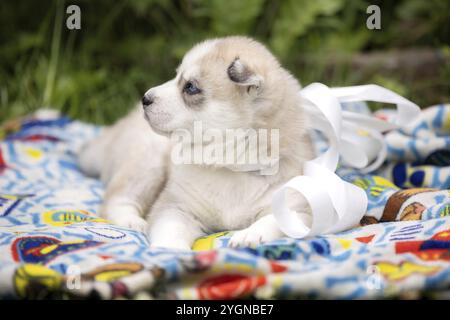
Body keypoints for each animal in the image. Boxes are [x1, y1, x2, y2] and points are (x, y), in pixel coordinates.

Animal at [79, 36, 312, 249]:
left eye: (190, 87)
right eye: (176, 76)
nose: (144, 98)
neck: (229, 165)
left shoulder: (297, 205)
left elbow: (277, 220)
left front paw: (250, 235)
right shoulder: (176, 206)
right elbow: (170, 229)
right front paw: (169, 251)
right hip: (148, 165)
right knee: (116, 199)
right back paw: (132, 221)